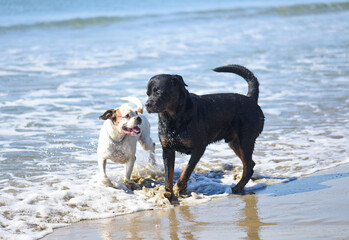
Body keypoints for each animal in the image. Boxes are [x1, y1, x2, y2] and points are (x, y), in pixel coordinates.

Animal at [145, 64, 264, 198]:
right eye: (147, 94)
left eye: (158, 92)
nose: (147, 104)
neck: (173, 117)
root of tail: (251, 99)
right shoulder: (167, 150)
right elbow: (168, 174)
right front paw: (168, 192)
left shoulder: (199, 148)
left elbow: (187, 171)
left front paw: (180, 188)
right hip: (234, 142)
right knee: (250, 164)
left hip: (246, 140)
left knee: (248, 167)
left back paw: (237, 187)